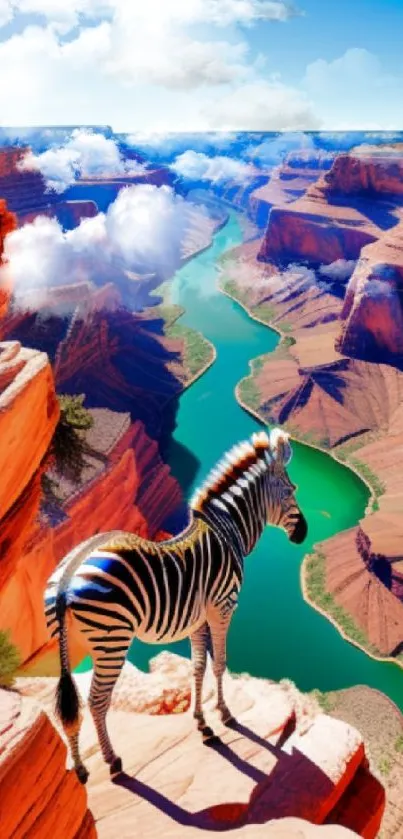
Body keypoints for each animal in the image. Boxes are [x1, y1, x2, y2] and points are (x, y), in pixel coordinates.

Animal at [44, 430, 308, 784]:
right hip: (112, 638)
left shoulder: (198, 619)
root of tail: (69, 574)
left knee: (67, 706)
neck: (227, 531)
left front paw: (202, 723)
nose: (303, 533)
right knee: (97, 701)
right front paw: (225, 714)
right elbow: (219, 663)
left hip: (68, 646)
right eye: (292, 490)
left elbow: (198, 666)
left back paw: (81, 768)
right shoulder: (224, 607)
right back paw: (113, 761)